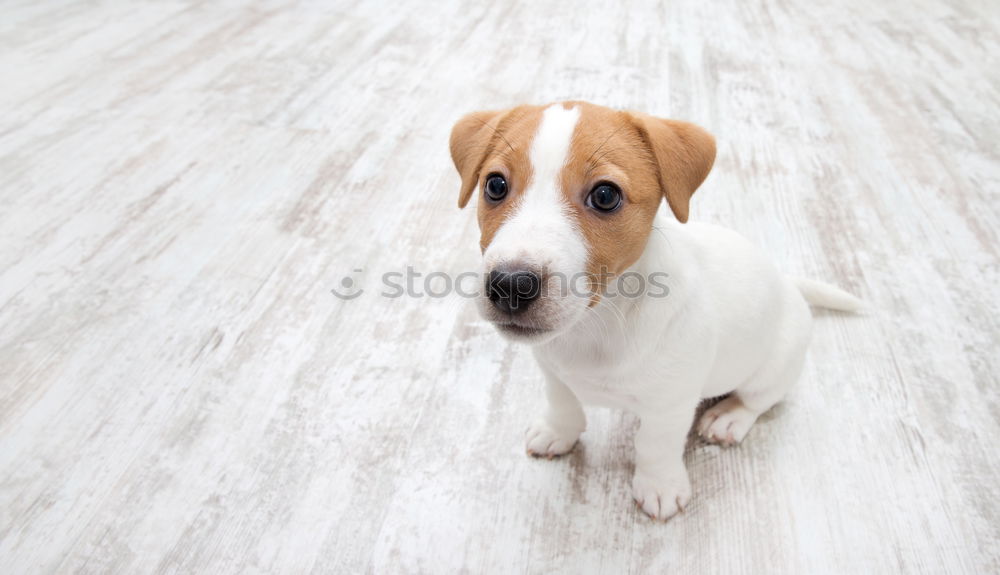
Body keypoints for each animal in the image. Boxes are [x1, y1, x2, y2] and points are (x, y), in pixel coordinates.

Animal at [450, 102, 864, 520]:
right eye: (495, 186)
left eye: (605, 195)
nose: (510, 285)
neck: (597, 323)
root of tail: (788, 283)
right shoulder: (553, 371)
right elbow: (563, 403)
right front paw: (557, 432)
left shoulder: (670, 405)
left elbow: (655, 445)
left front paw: (660, 486)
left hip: (776, 365)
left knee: (760, 399)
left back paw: (729, 417)